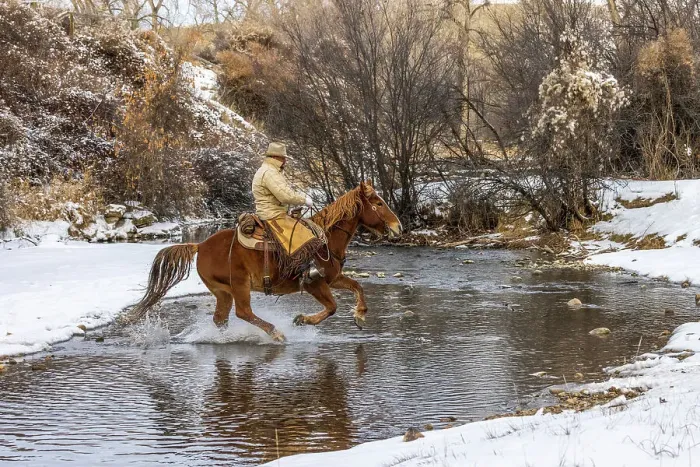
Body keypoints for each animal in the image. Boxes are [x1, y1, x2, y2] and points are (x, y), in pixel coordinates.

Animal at [124, 180, 403, 342]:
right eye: (378, 203)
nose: (398, 227)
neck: (325, 238)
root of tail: (200, 245)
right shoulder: (315, 283)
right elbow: (332, 307)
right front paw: (301, 320)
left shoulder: (333, 278)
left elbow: (358, 287)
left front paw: (360, 316)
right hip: (239, 285)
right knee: (243, 312)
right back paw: (276, 333)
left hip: (223, 291)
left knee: (222, 318)